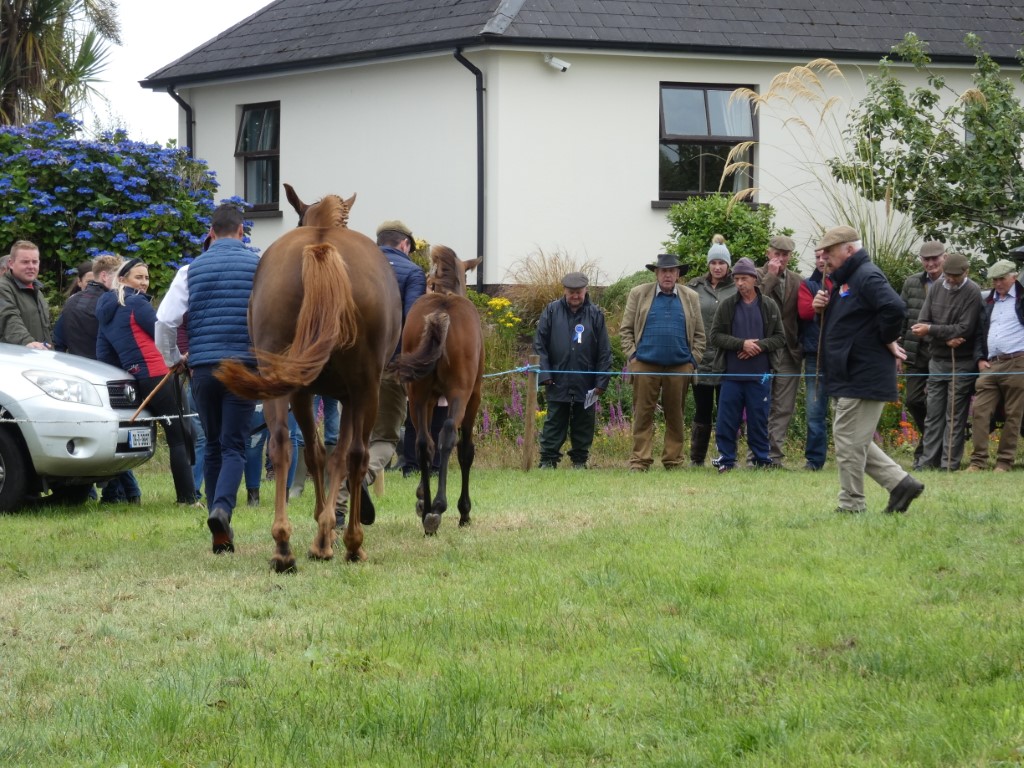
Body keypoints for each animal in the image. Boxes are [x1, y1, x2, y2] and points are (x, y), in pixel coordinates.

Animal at [217, 183, 401, 570]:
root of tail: (321, 246)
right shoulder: (349, 395)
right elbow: (337, 455)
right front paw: (326, 534)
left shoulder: (305, 392)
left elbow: (316, 453)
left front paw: (321, 530)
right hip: (366, 389)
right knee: (357, 455)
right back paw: (352, 543)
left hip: (281, 380)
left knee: (281, 445)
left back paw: (282, 546)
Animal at [388, 246, 483, 535]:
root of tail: (443, 311)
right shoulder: (473, 397)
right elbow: (465, 452)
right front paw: (464, 512)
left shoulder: (428, 400)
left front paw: (421, 497)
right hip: (460, 394)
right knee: (447, 437)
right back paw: (438, 508)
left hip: (418, 395)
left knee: (423, 443)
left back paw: (428, 510)